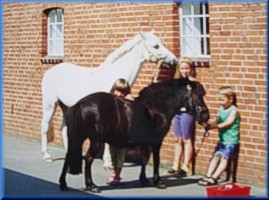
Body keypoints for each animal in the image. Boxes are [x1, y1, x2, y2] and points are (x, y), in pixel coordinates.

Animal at [40, 31, 177, 162]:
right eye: (156, 46)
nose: (174, 60)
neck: (114, 78)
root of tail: (49, 72)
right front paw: (107, 161)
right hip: (50, 104)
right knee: (45, 126)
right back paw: (47, 156)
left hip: (66, 107)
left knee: (64, 129)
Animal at [58, 77, 209, 192]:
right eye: (197, 95)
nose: (205, 115)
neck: (157, 107)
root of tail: (81, 102)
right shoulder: (156, 141)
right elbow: (155, 160)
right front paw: (158, 182)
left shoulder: (145, 142)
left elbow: (144, 159)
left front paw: (144, 180)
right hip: (96, 141)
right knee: (88, 158)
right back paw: (91, 185)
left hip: (78, 137)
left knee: (69, 155)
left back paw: (63, 184)